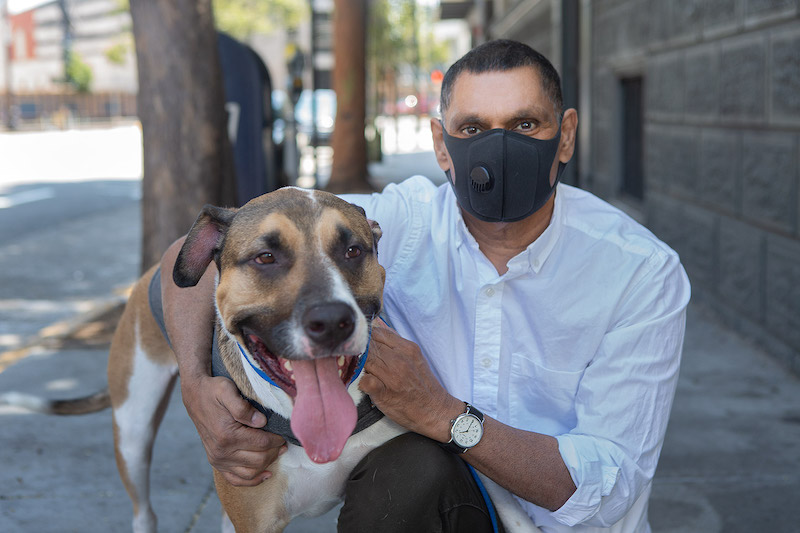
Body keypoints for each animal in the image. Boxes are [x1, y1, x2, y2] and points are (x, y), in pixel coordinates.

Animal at [1, 187, 536, 532]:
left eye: (353, 250)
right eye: (265, 257)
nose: (332, 321)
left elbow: (501, 487)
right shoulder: (256, 518)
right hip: (132, 429)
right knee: (143, 510)